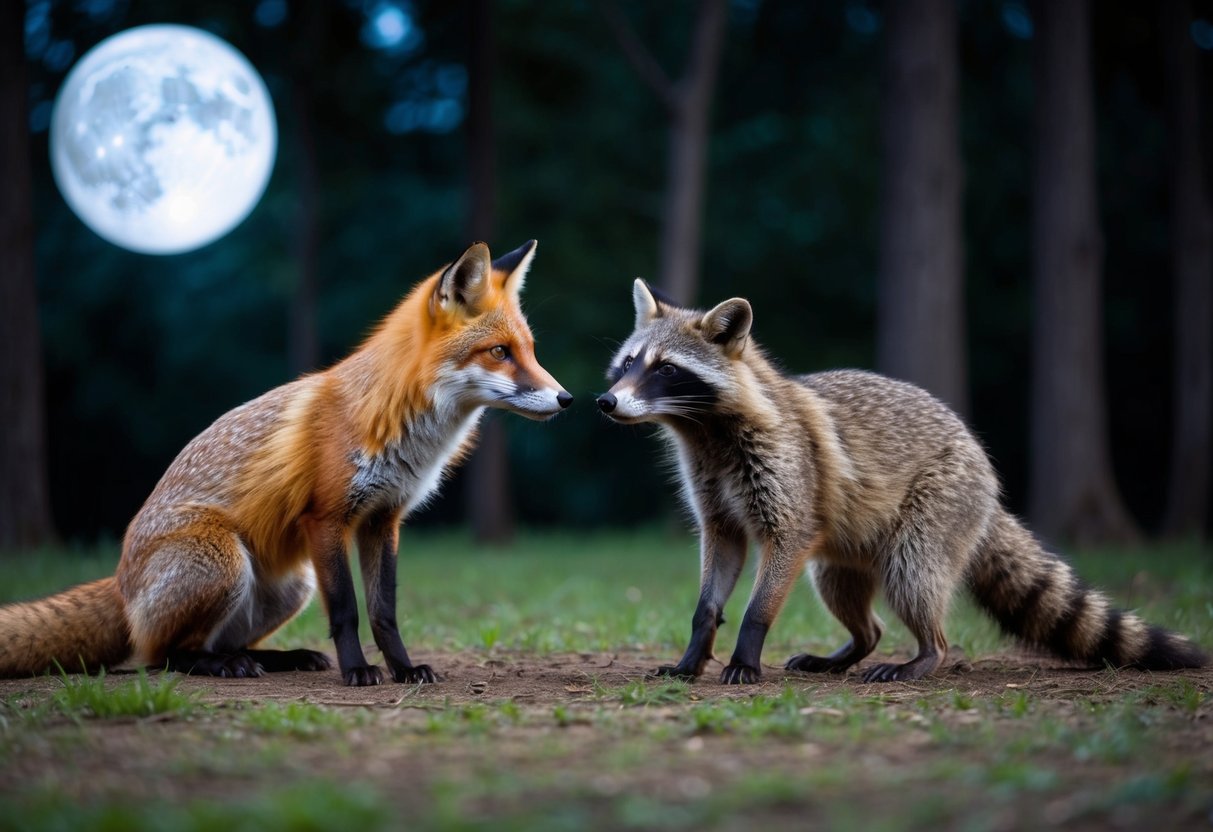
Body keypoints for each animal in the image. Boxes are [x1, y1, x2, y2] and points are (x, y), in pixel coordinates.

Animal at [0, 241, 571, 686]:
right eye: (499, 352)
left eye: (530, 350)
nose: (566, 400)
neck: (398, 421)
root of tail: (120, 581)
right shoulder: (327, 517)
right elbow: (346, 610)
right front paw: (358, 672)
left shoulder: (383, 519)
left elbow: (384, 611)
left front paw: (405, 669)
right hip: (225, 561)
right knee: (163, 657)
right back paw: (222, 667)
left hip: (292, 584)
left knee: (216, 645)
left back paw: (276, 658)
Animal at [597, 279, 1207, 684]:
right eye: (628, 363)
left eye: (666, 369)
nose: (605, 402)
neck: (703, 432)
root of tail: (985, 472)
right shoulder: (717, 505)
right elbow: (712, 586)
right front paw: (695, 651)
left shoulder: (786, 485)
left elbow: (766, 590)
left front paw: (746, 651)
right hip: (844, 554)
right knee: (853, 603)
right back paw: (853, 648)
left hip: (934, 511)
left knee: (914, 580)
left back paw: (927, 653)